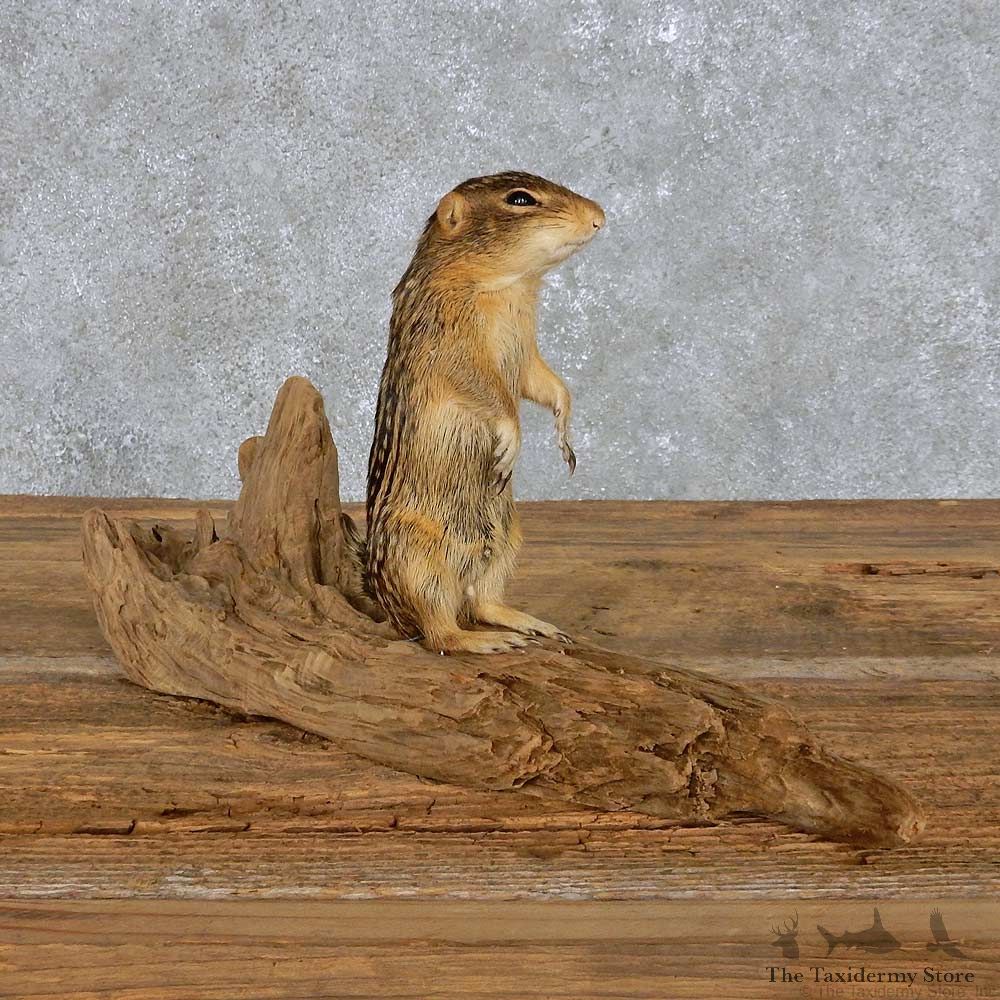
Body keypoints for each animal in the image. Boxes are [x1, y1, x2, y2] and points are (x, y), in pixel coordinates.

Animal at [357, 170, 605, 654]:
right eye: (520, 200)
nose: (599, 217)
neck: (508, 286)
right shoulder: (451, 347)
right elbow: (493, 394)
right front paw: (510, 442)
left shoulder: (526, 351)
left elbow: (544, 383)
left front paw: (564, 433)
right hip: (418, 562)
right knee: (441, 631)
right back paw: (486, 642)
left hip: (509, 540)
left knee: (483, 602)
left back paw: (530, 623)